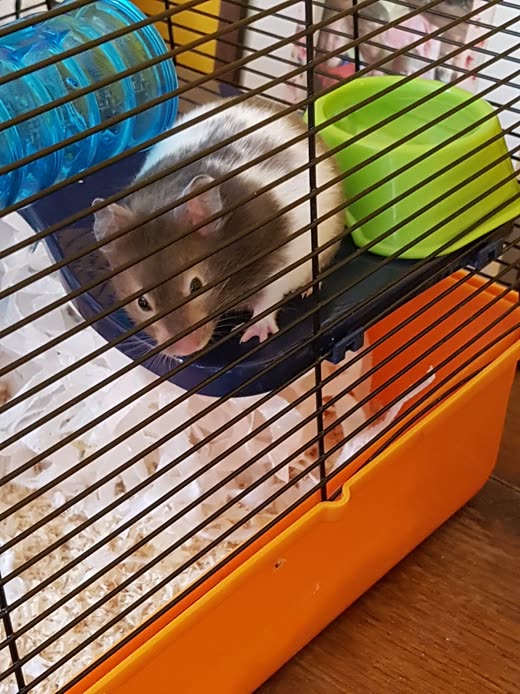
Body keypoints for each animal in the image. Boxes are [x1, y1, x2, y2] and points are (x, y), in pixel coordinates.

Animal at [93, 96, 345, 357]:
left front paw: (252, 335)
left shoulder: (283, 263)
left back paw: (307, 289)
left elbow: (268, 300)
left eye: (196, 286)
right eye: (142, 303)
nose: (186, 350)